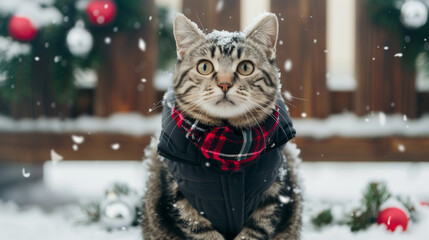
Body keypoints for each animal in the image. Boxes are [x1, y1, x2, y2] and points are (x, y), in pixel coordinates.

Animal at [141, 13, 300, 240]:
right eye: (204, 66)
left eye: (245, 67)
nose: (225, 84)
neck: (229, 152)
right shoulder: (182, 198)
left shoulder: (273, 192)